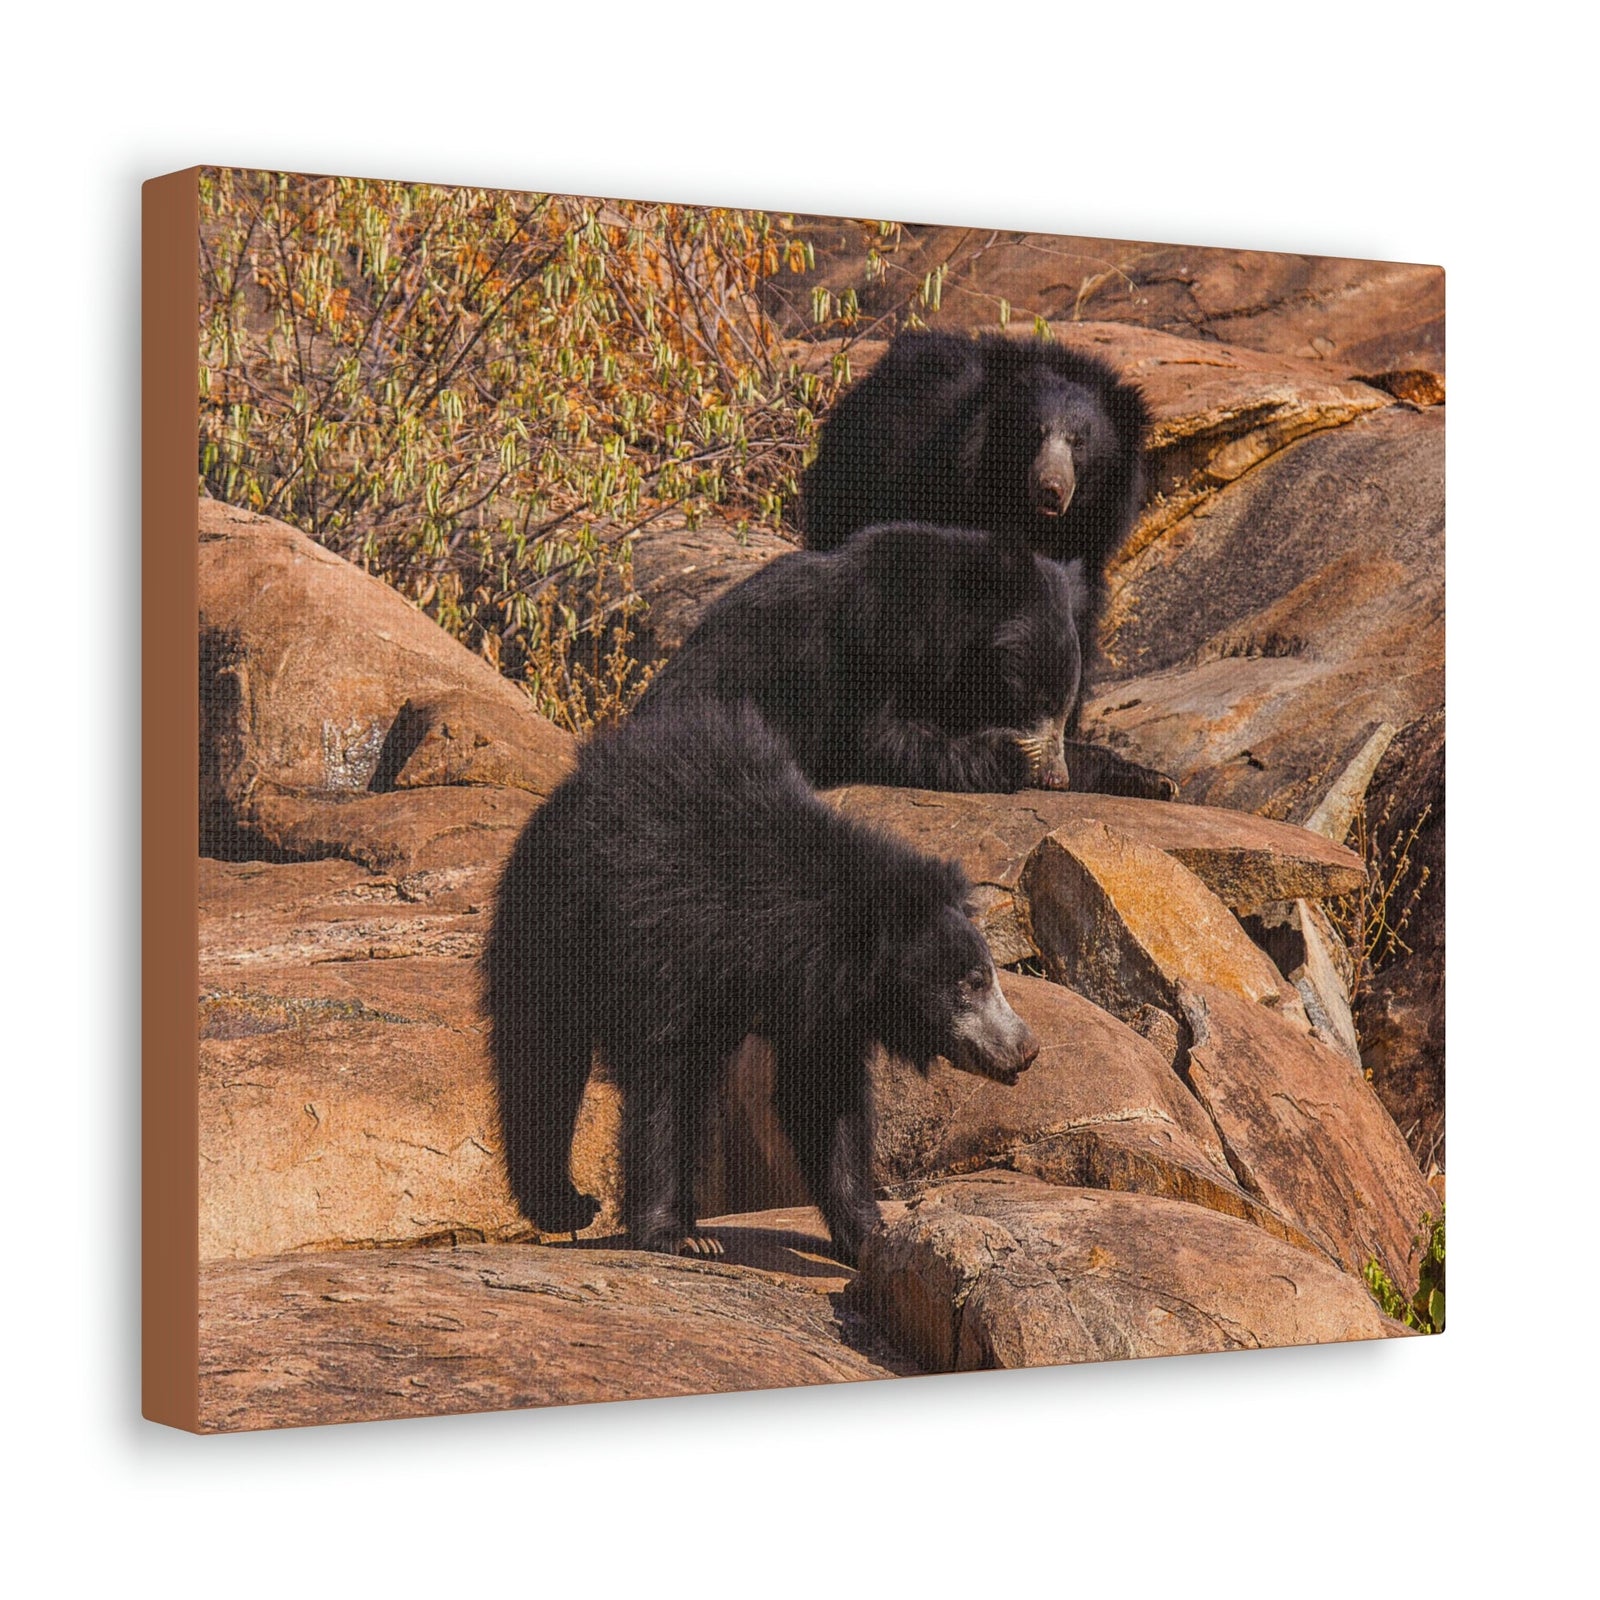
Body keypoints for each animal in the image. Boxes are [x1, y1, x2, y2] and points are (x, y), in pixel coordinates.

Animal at [481, 699, 1039, 1265]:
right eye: (972, 981)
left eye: (987, 975)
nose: (1026, 1048)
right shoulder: (671, 949)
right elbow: (670, 1084)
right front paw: (682, 1235)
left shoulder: (825, 1007)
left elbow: (823, 1099)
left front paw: (868, 1234)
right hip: (555, 924)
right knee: (542, 1057)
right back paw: (565, 1205)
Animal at [637, 521, 1175, 799]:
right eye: (1034, 700)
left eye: (1064, 710)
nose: (1055, 779)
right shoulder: (870, 639)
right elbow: (874, 736)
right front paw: (1011, 756)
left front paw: (1154, 780)